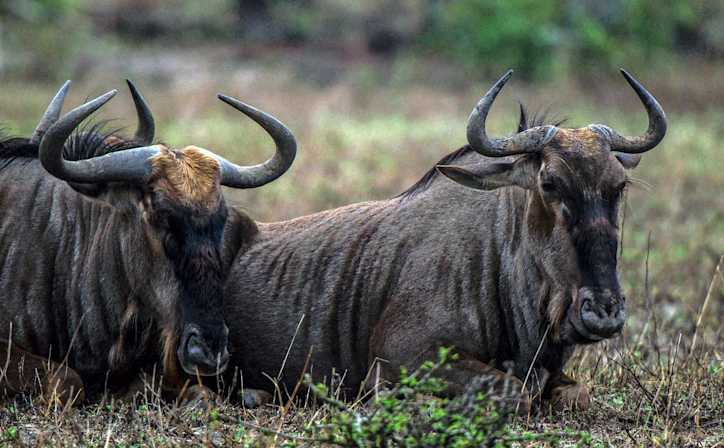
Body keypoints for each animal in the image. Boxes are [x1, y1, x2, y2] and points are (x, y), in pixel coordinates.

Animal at [222, 70, 666, 410]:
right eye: (550, 183)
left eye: (618, 185)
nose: (604, 312)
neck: (498, 258)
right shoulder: (403, 355)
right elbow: (515, 393)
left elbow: (577, 394)